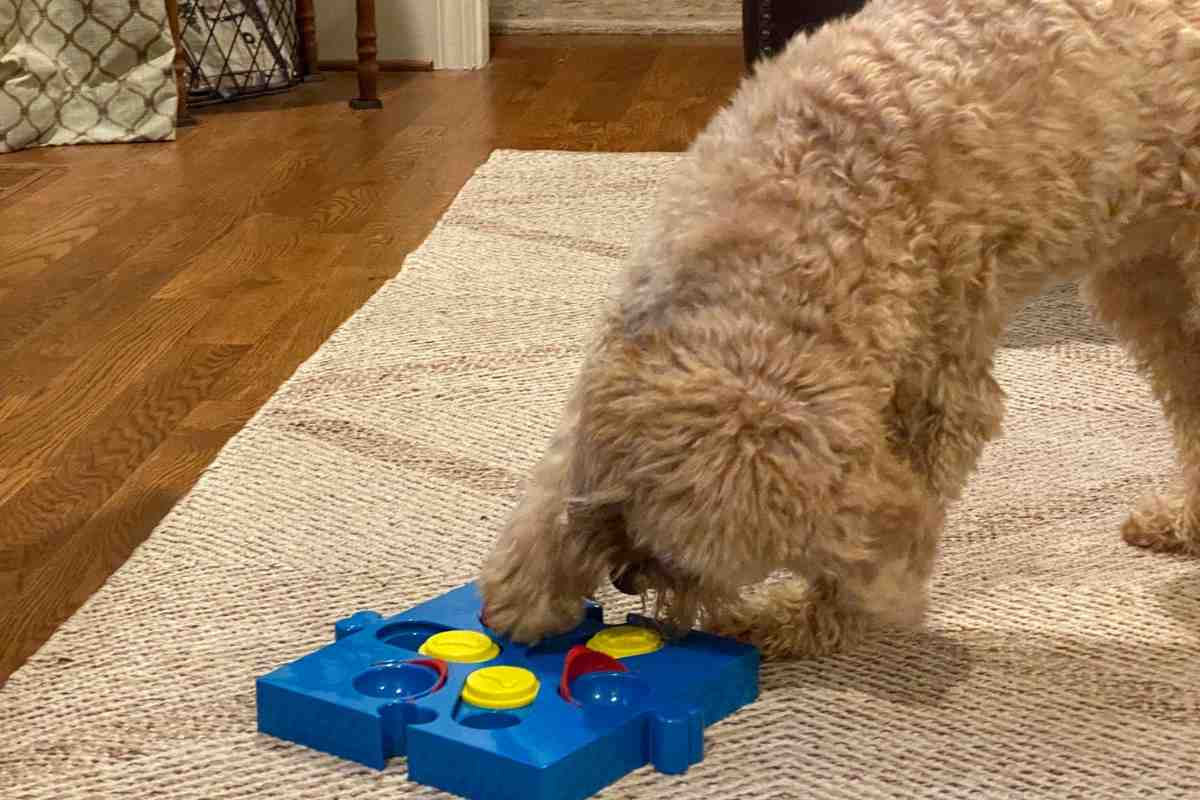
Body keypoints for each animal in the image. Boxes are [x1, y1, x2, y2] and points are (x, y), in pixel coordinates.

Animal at [475, 0, 1200, 662]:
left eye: (698, 567)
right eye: (633, 522)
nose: (627, 578)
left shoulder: (942, 390)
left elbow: (881, 536)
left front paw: (804, 623)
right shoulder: (624, 342)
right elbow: (554, 480)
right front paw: (525, 592)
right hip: (1149, 285)